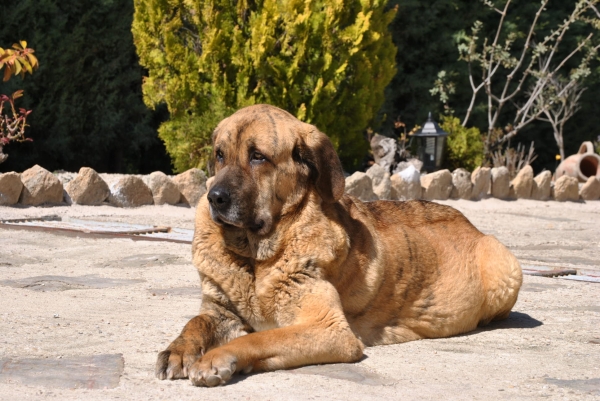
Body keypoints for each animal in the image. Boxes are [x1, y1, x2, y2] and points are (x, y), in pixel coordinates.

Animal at [157, 103, 524, 384]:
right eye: (219, 155)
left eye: (258, 157)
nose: (215, 197)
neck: (255, 258)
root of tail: (472, 225)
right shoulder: (220, 312)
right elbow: (195, 322)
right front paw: (178, 350)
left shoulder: (329, 330)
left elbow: (261, 336)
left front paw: (218, 357)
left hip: (507, 266)